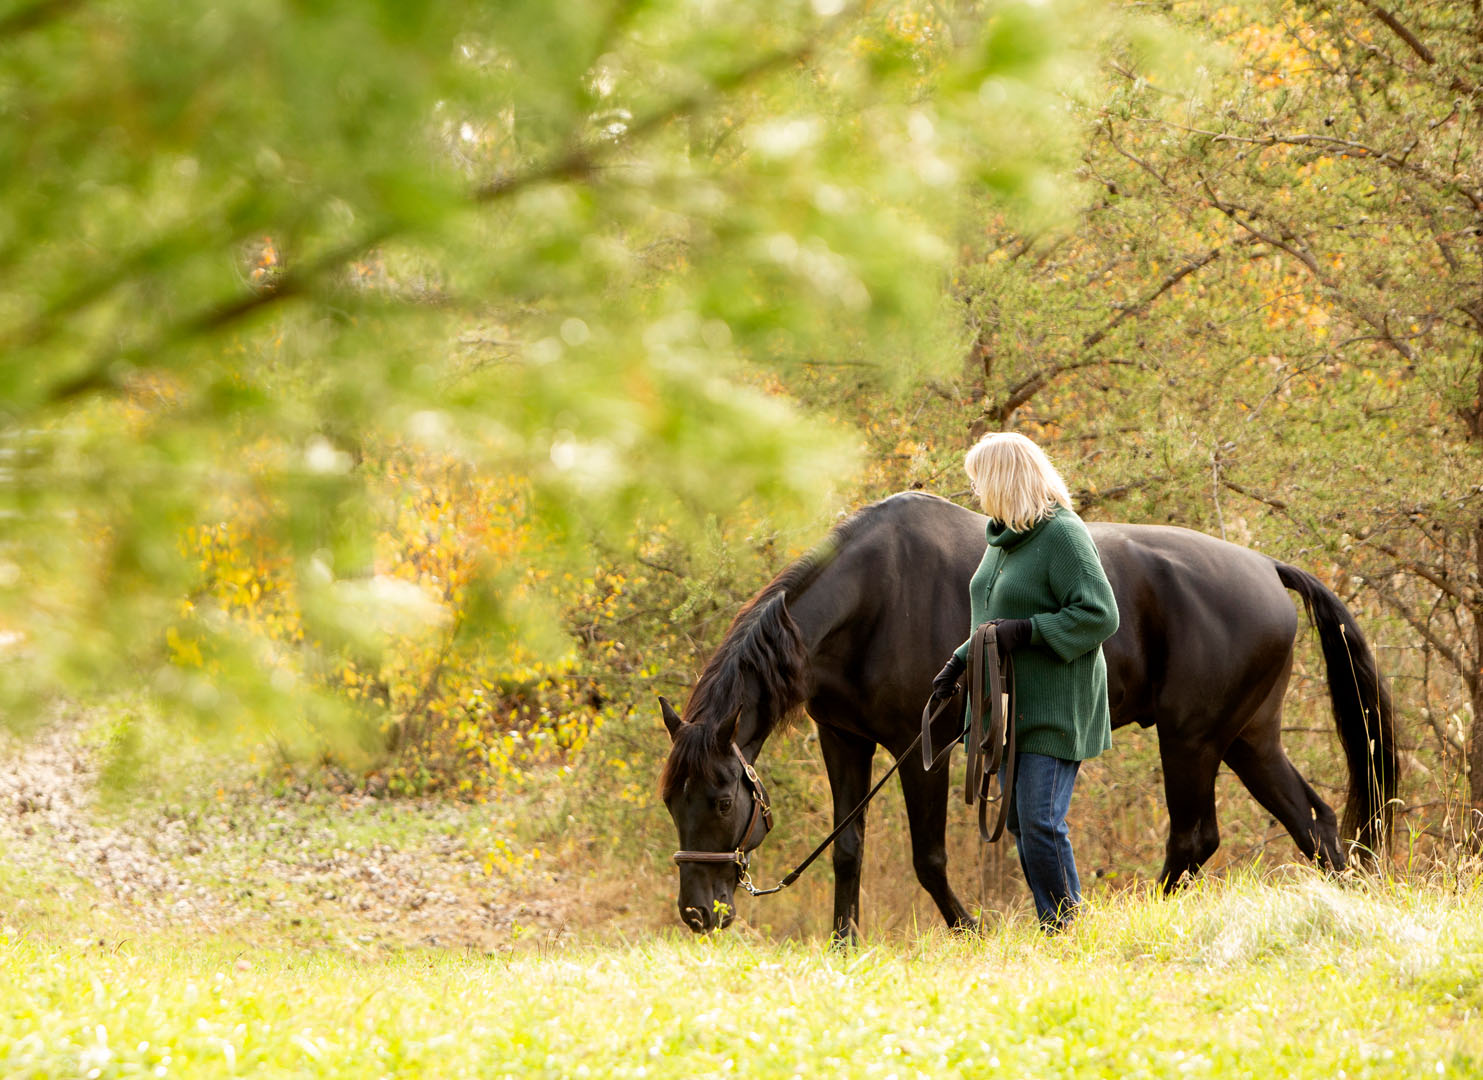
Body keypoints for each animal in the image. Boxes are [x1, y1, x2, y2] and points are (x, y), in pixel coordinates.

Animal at [658, 492, 1397, 938]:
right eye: (672, 802)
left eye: (721, 801)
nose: (697, 913)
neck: (873, 595)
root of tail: (1269, 569)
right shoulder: (844, 740)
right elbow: (848, 851)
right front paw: (845, 946)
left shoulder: (920, 748)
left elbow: (928, 858)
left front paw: (967, 931)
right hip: (1248, 740)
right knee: (1314, 824)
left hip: (1192, 740)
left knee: (1194, 838)